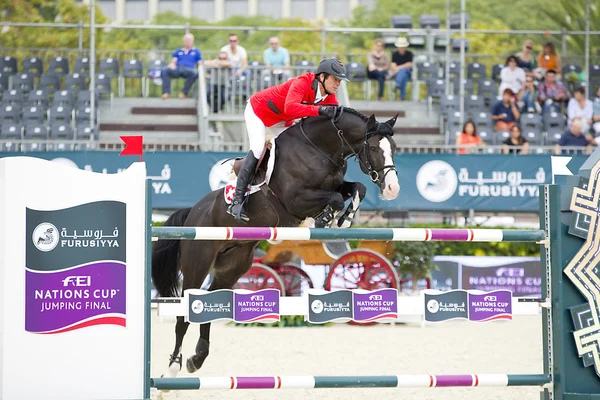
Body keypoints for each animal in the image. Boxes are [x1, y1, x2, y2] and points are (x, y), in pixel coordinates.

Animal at [152, 107, 400, 378]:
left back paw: (197, 358)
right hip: (197, 263)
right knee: (184, 311)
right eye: (374, 147)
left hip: (232, 266)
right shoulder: (296, 199)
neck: (320, 148)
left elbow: (357, 188)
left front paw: (343, 219)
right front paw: (325, 218)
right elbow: (334, 198)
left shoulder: (336, 185)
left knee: (208, 301)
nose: (392, 189)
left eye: (394, 148)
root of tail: (193, 212)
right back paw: (174, 365)